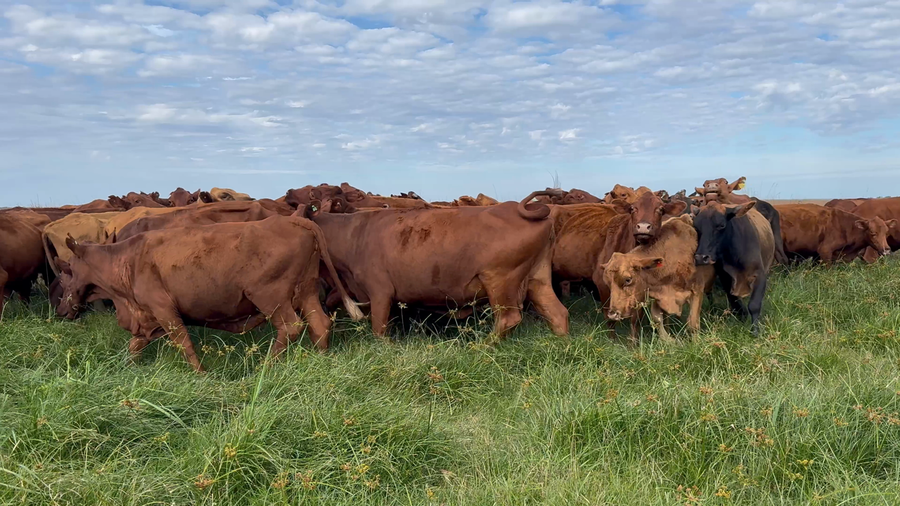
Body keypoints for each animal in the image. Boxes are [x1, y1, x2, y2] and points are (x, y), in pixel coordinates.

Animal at [54, 214, 363, 372]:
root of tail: (294, 221)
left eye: (68, 270)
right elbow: (135, 346)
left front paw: (201, 374)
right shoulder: (146, 316)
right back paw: (321, 358)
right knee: (319, 324)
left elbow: (184, 343)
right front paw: (128, 368)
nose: (60, 310)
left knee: (291, 326)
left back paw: (264, 367)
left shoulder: (164, 309)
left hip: (270, 296)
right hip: (306, 291)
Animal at [305, 191, 569, 339]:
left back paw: (484, 347)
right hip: (537, 279)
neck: (354, 233)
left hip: (499, 281)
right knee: (557, 312)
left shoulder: (380, 291)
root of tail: (516, 209)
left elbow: (379, 329)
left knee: (508, 319)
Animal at [693, 201, 775, 336]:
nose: (701, 257)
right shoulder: (724, 277)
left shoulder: (760, 275)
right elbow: (735, 303)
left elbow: (754, 305)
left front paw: (755, 331)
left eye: (721, 225)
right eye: (696, 227)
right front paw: (743, 318)